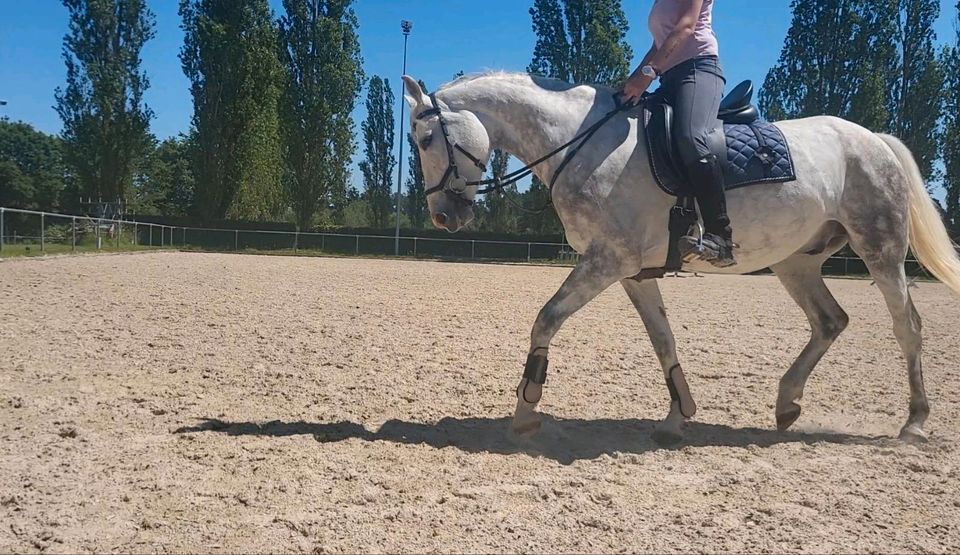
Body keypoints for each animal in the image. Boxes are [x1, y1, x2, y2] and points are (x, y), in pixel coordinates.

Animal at [402, 71, 960, 444]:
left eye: (426, 138)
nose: (443, 217)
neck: (583, 143)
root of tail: (873, 139)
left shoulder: (606, 262)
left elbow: (546, 319)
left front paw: (525, 408)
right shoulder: (630, 271)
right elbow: (662, 339)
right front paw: (678, 416)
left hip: (881, 251)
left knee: (907, 328)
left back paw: (914, 422)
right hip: (795, 263)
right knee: (830, 321)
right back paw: (786, 405)